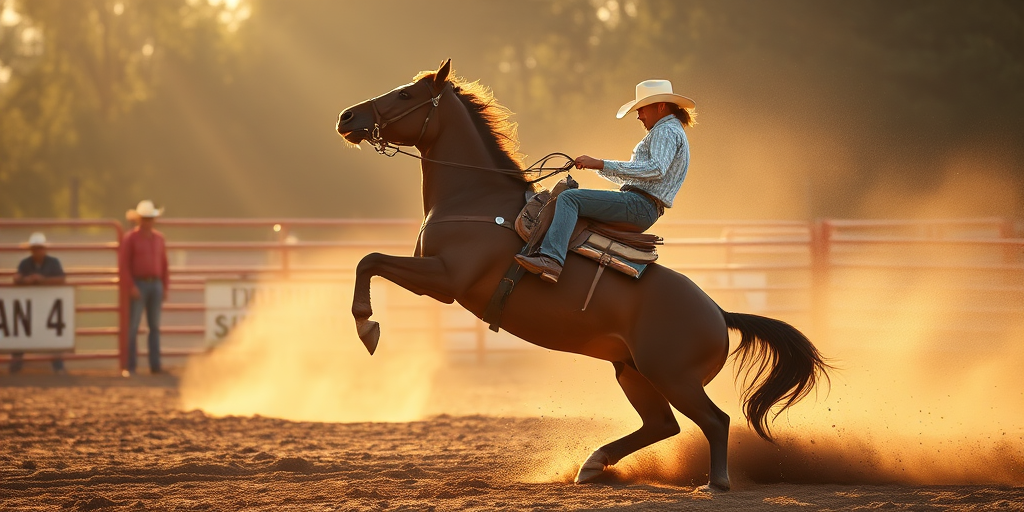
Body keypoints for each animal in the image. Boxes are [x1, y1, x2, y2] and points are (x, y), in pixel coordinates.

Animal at [336, 59, 829, 491]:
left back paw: (716, 482)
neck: (477, 200)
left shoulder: (446, 281)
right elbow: (368, 261)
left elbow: (369, 260)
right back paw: (593, 465)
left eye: (407, 94)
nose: (346, 116)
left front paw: (366, 326)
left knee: (715, 420)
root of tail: (718, 313)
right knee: (663, 424)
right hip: (634, 372)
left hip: (673, 376)